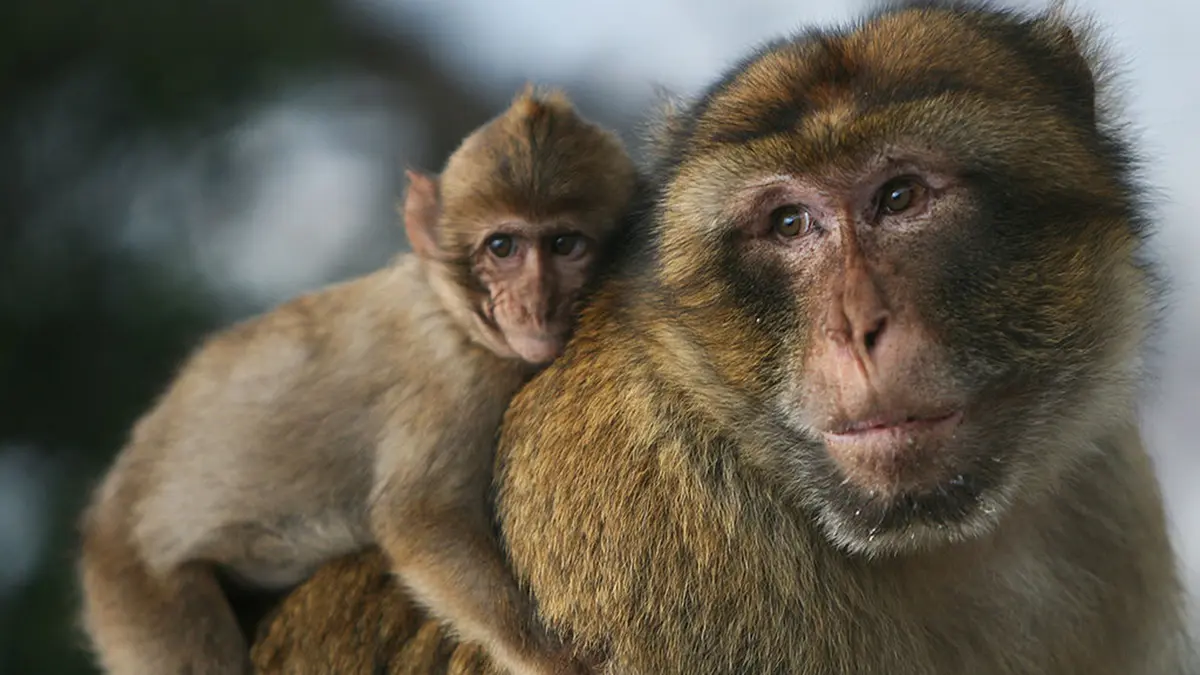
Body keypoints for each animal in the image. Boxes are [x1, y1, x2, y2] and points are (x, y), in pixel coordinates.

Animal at [75, 85, 637, 675]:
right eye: (502, 247)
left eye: (564, 245)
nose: (534, 302)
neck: (453, 310)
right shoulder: (456, 380)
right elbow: (418, 518)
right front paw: (549, 656)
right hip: (135, 588)